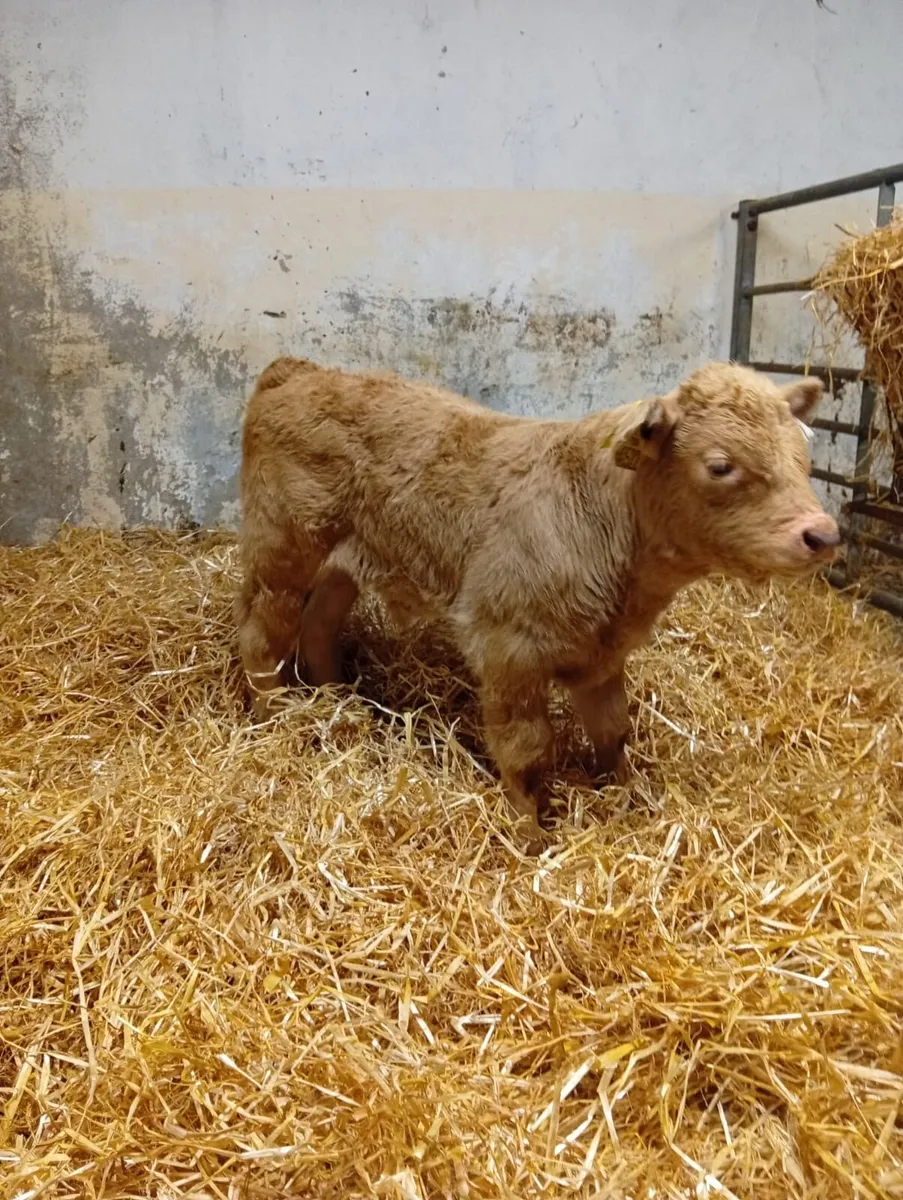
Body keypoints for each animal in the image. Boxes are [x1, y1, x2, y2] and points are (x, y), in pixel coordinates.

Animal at [235, 357, 839, 846]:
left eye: (802, 455)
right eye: (720, 465)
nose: (823, 534)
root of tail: (300, 371)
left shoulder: (603, 655)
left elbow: (614, 732)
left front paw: (627, 795)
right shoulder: (509, 649)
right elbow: (526, 750)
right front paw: (529, 834)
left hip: (346, 558)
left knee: (318, 623)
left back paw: (338, 699)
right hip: (283, 548)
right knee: (263, 633)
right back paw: (275, 716)